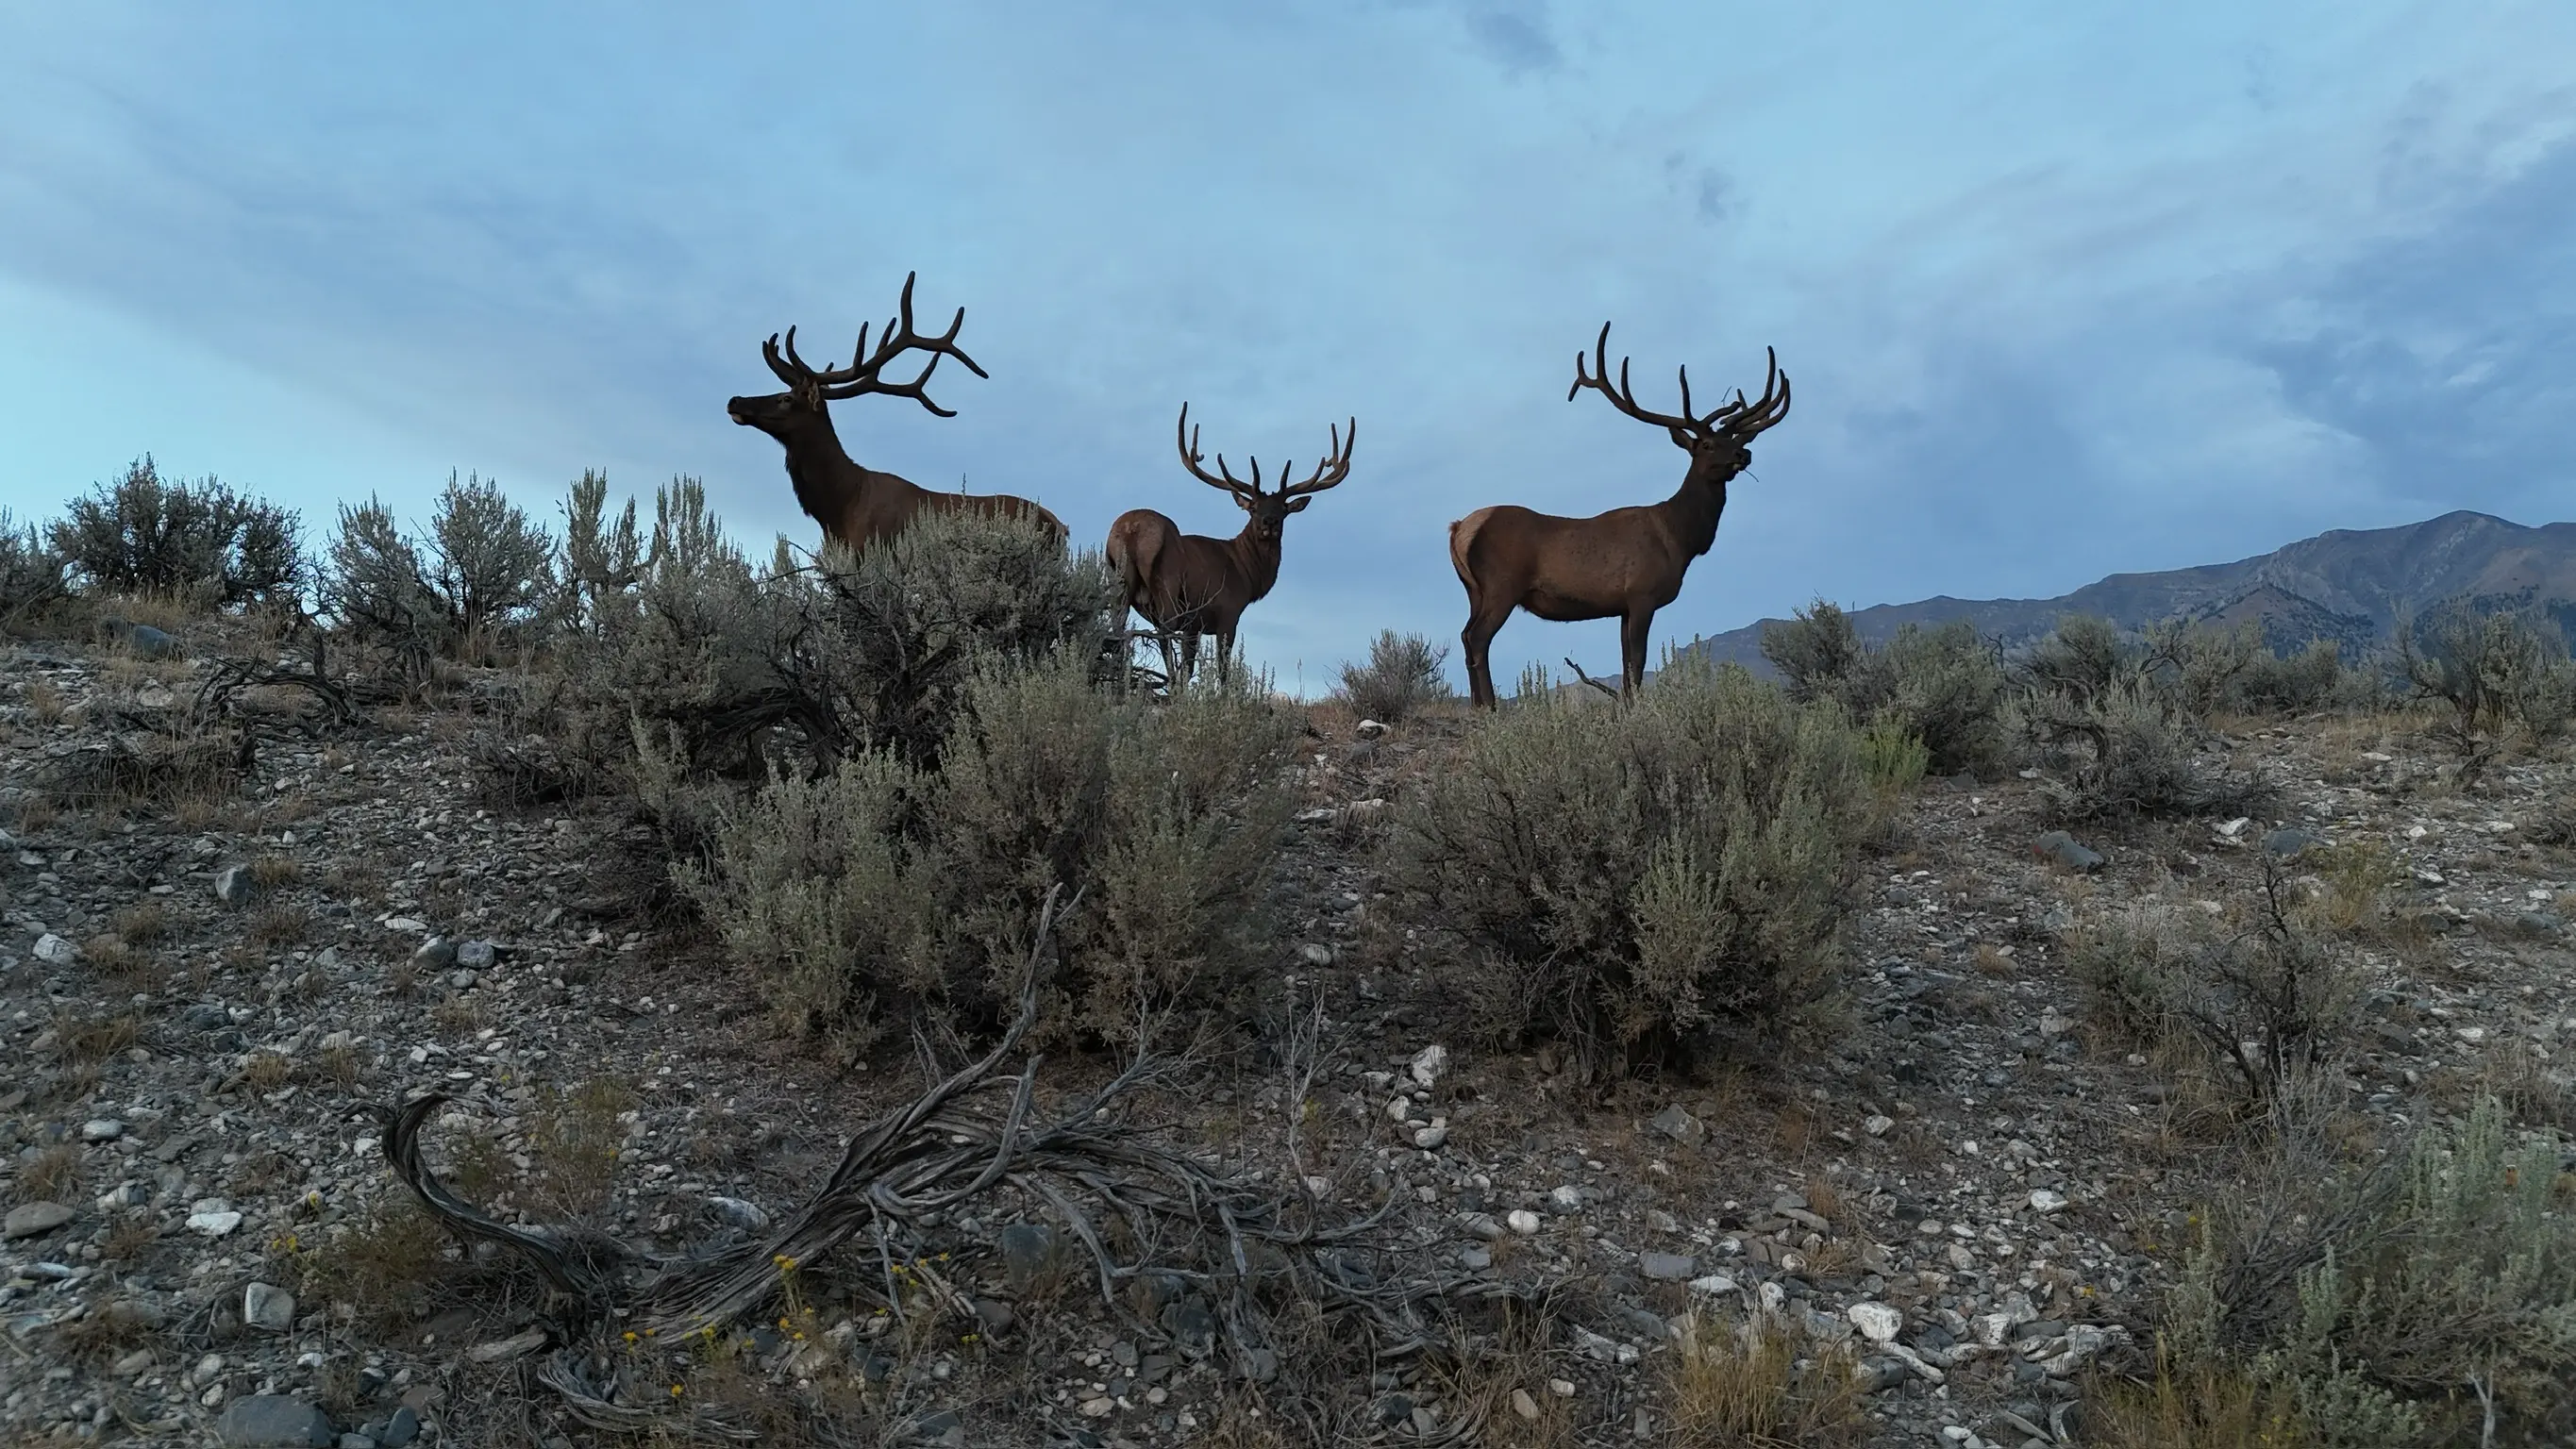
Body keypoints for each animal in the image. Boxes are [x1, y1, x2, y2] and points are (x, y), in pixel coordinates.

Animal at [1106, 403, 1355, 687]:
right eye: (1254, 508)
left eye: (1283, 509)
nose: (1270, 522)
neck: (1246, 572)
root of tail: (1131, 529)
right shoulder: (1227, 612)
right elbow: (1221, 671)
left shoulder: (1194, 625)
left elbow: (1189, 667)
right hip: (1168, 588)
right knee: (1163, 637)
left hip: (1118, 582)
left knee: (1118, 632)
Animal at [1448, 323, 1789, 707]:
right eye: (1706, 444)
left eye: (1734, 440)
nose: (1744, 454)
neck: (1679, 538)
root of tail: (1459, 528)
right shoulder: (1642, 593)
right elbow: (1637, 661)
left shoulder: (1622, 606)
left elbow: (1627, 664)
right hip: (1502, 584)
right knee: (1478, 638)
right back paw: (1490, 708)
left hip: (1473, 589)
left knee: (1465, 636)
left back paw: (1478, 706)